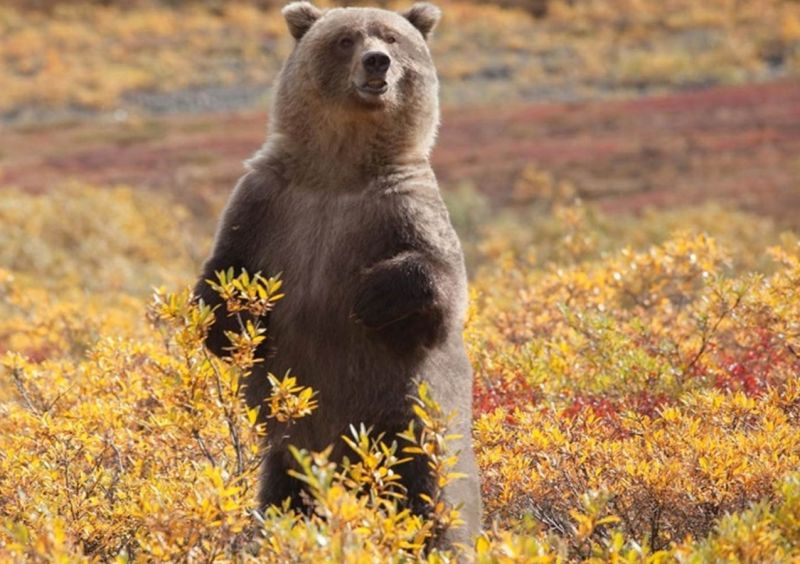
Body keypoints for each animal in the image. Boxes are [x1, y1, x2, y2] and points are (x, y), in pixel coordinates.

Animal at [194, 0, 482, 548]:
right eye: (346, 39)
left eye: (392, 38)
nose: (377, 63)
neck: (338, 170)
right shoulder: (267, 203)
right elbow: (225, 274)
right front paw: (236, 321)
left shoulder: (402, 204)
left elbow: (442, 287)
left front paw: (371, 296)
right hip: (292, 455)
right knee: (285, 501)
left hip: (410, 438)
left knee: (429, 505)